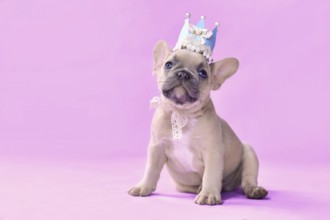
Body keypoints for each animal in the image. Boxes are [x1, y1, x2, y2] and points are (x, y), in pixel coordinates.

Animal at [127, 40, 266, 205]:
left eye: (203, 73)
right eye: (168, 64)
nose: (183, 73)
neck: (182, 113)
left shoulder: (212, 152)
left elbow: (210, 174)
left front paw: (208, 194)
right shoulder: (156, 147)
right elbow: (151, 169)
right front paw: (143, 186)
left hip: (249, 153)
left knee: (248, 179)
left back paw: (254, 190)